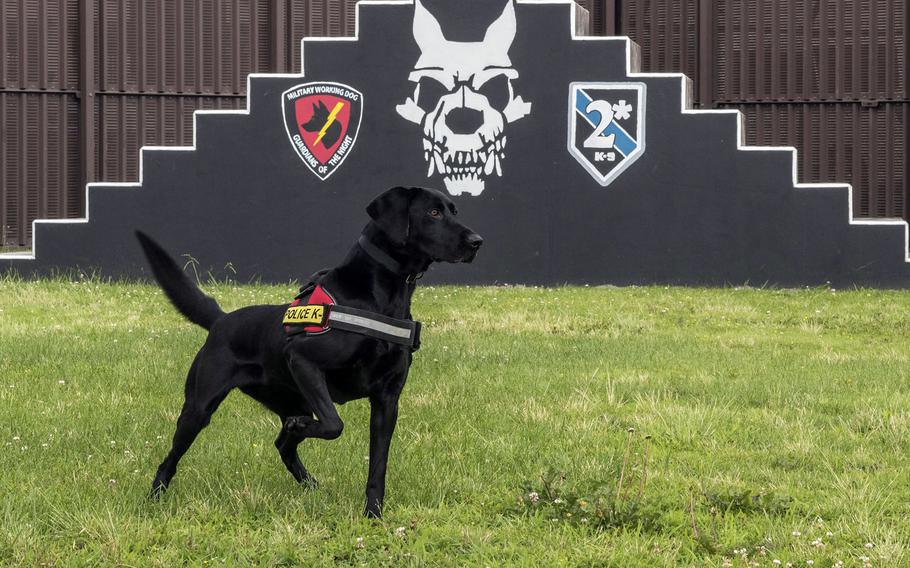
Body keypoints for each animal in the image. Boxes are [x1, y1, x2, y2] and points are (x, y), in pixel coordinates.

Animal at [136, 187, 484, 520]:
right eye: (433, 212)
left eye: (453, 210)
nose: (477, 242)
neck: (380, 298)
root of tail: (221, 319)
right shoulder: (303, 359)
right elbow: (334, 424)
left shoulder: (387, 400)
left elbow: (378, 466)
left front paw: (373, 515)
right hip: (199, 407)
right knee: (172, 457)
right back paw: (154, 497)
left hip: (295, 399)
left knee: (283, 445)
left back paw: (312, 484)